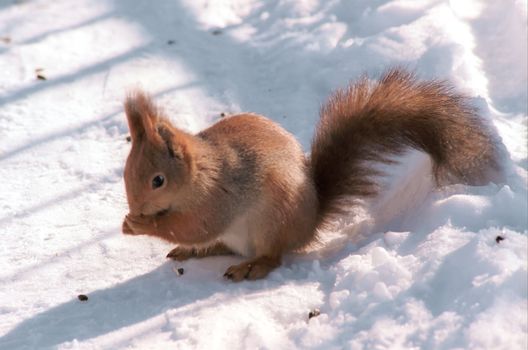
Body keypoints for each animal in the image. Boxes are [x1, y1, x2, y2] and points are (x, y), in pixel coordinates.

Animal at [121, 68, 502, 282]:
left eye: (158, 180)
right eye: (125, 173)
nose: (136, 208)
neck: (200, 173)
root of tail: (308, 225)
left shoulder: (218, 196)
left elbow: (196, 226)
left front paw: (140, 225)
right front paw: (130, 221)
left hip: (273, 219)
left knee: (272, 255)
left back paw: (252, 266)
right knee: (223, 244)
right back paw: (199, 252)